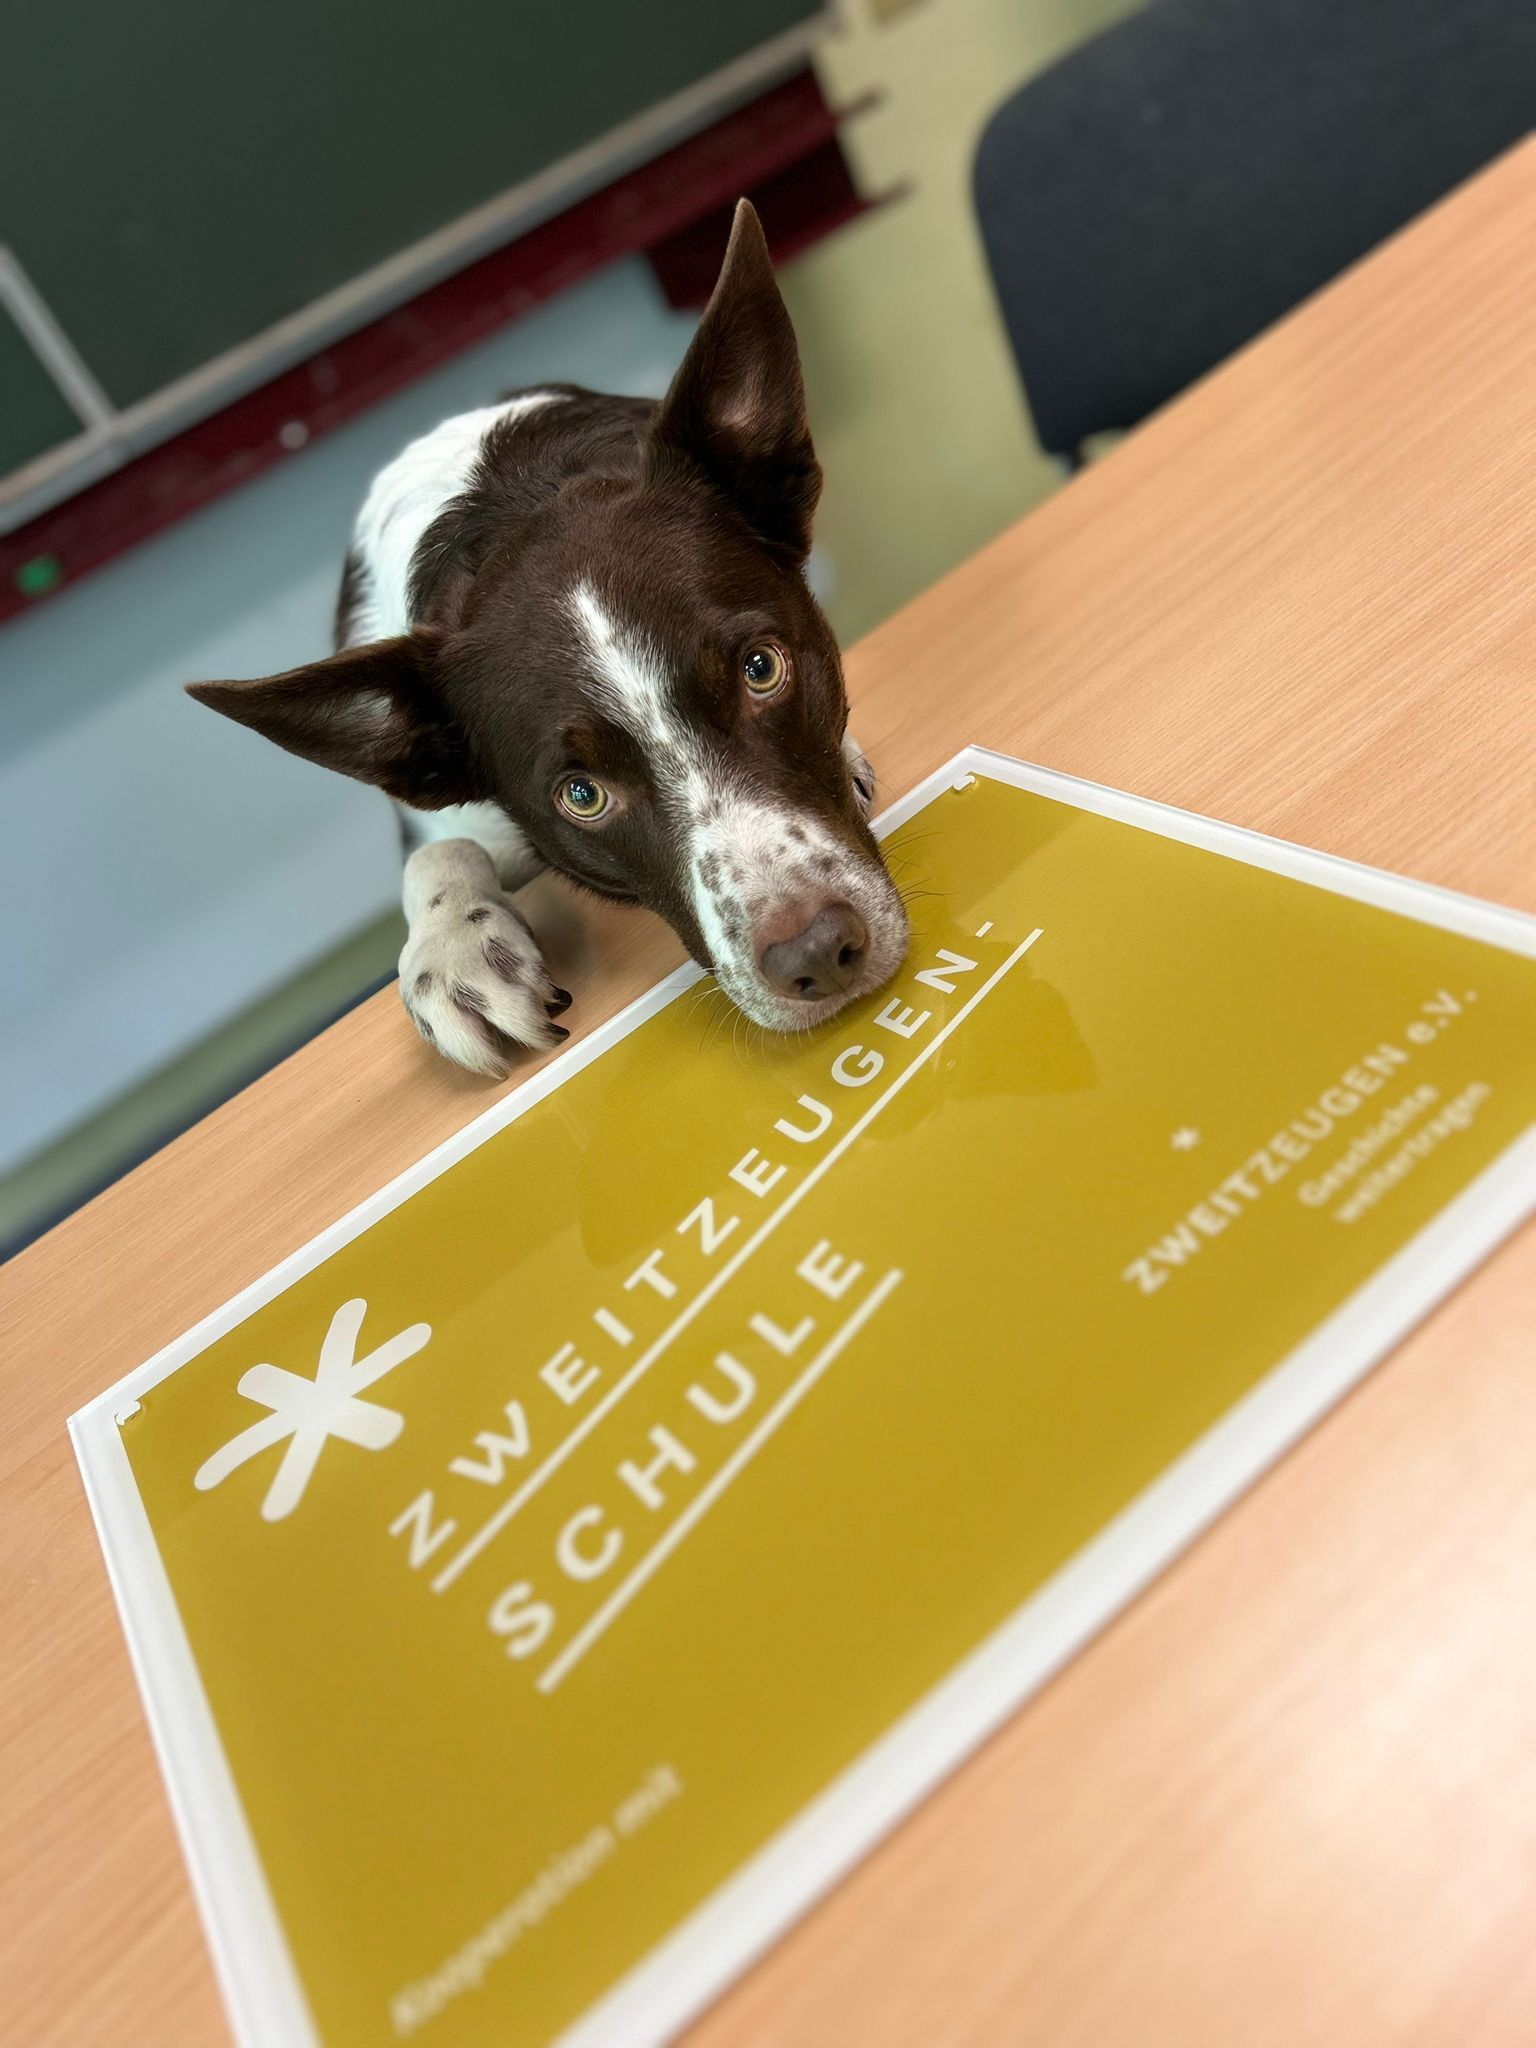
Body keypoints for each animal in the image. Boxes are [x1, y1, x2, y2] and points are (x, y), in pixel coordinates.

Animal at [188, 201, 908, 1078]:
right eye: (581, 796)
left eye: (761, 669)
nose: (818, 954)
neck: (507, 507)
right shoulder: (445, 816)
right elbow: (438, 855)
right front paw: (453, 949)